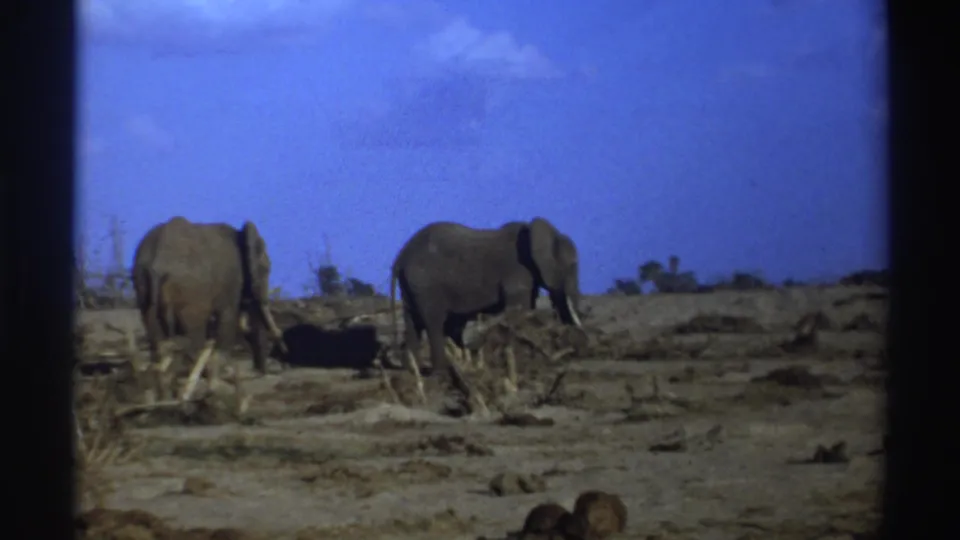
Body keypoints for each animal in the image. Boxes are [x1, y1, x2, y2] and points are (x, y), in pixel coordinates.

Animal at [131, 216, 287, 404]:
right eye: (266, 269)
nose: (264, 372)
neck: (241, 234)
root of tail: (156, 265)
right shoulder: (231, 282)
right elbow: (228, 320)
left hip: (143, 288)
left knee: (158, 340)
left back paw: (166, 396)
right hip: (191, 293)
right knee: (192, 338)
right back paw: (189, 391)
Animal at [389, 217, 582, 404]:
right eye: (572, 266)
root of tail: (400, 258)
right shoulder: (517, 271)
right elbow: (519, 309)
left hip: (411, 287)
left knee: (414, 324)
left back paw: (412, 372)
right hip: (425, 285)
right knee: (434, 323)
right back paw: (440, 374)